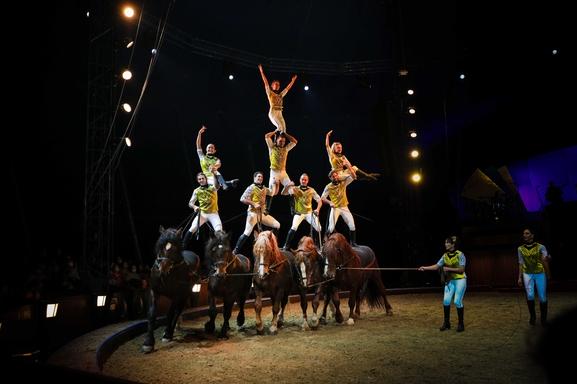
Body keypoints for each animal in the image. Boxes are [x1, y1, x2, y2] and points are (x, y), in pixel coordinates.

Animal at [142, 225, 200, 354]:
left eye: (175, 248)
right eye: (160, 246)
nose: (163, 267)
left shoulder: (176, 295)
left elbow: (170, 313)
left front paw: (167, 335)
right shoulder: (154, 291)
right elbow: (152, 314)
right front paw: (148, 342)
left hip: (184, 295)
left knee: (177, 312)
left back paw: (169, 332)